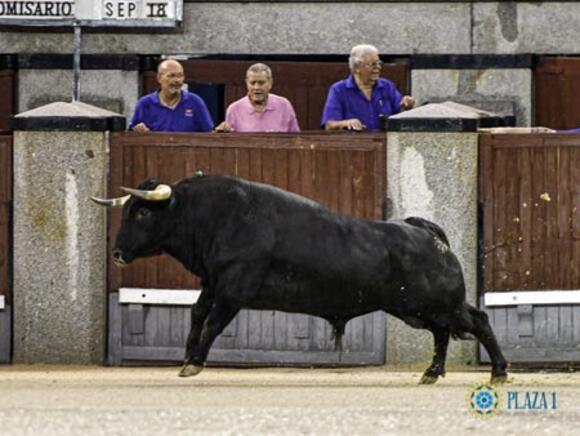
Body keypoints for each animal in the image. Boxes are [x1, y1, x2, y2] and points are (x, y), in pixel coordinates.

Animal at [92, 174, 508, 384]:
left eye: (143, 214)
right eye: (128, 210)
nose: (117, 253)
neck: (215, 216)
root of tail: (425, 232)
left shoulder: (233, 290)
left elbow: (212, 323)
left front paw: (194, 361)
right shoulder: (212, 283)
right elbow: (196, 315)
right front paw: (187, 356)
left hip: (439, 303)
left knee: (478, 320)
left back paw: (499, 371)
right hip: (417, 309)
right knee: (442, 333)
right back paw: (432, 373)